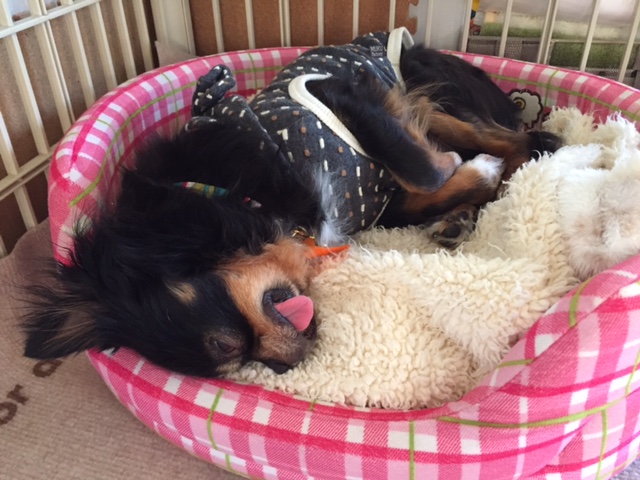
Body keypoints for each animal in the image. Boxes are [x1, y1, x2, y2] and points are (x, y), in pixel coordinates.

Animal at [22, 29, 561, 377]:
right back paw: (465, 213)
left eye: (228, 344)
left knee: (508, 138)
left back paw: (519, 159)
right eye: (242, 362)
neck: (234, 195)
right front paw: (465, 193)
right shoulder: (380, 205)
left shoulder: (341, 90)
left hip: (414, 79)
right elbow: (422, 194)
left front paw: (475, 171)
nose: (283, 367)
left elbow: (428, 168)